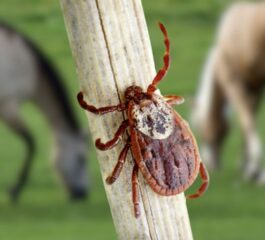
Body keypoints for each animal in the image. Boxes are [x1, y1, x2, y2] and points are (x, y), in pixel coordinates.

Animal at [191, 1, 264, 183]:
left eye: (202, 130)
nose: (212, 164)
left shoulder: (232, 81)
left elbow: (246, 121)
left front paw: (253, 170)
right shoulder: (254, 85)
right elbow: (250, 117)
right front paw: (246, 164)